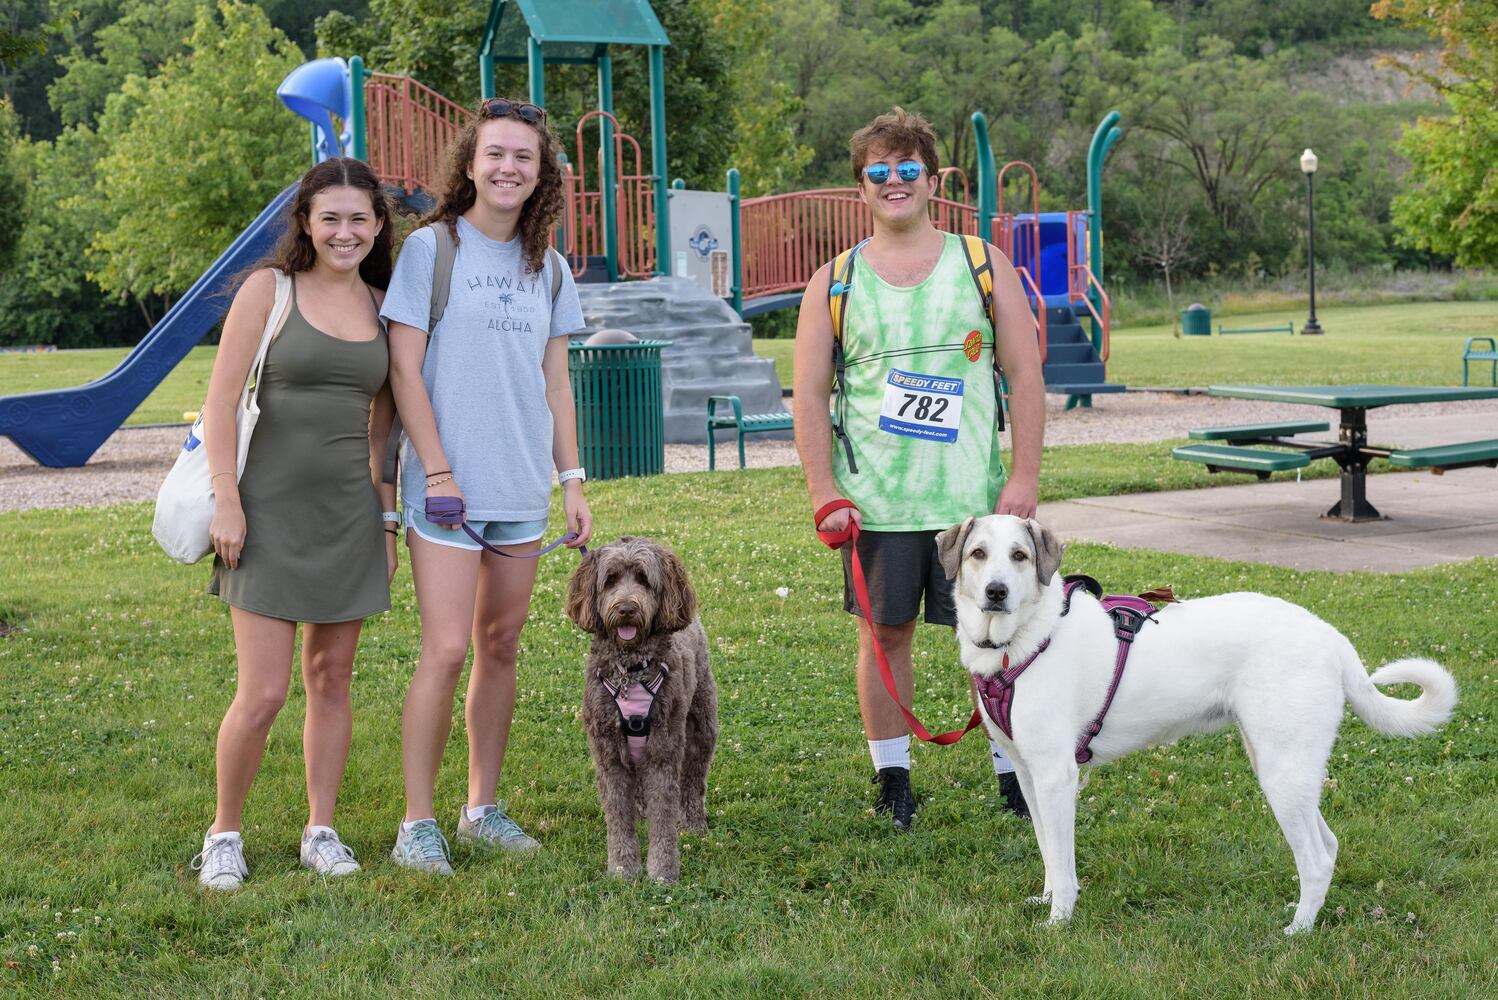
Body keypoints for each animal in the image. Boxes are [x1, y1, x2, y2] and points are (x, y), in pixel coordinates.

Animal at [566, 535, 719, 880]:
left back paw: (694, 823)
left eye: (644, 580)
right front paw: (623, 867)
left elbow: (664, 817)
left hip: (701, 725)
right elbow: (618, 816)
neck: (631, 670)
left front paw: (662, 871)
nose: (626, 609)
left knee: (694, 779)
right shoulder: (609, 754)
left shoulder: (663, 750)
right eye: (610, 580)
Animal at [940, 514, 1456, 940]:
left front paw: (1059, 920)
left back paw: (1298, 930)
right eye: (978, 554)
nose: (996, 592)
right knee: (1327, 845)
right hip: (1286, 766)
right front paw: (1047, 899)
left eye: (1020, 556)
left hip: (1282, 771)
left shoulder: (1055, 775)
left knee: (1315, 855)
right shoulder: (1029, 774)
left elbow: (1063, 860)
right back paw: (1303, 913)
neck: (1022, 640)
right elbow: (1049, 849)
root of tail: (1329, 634)